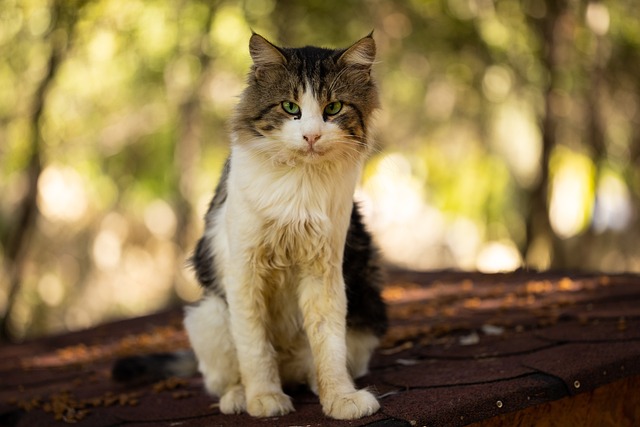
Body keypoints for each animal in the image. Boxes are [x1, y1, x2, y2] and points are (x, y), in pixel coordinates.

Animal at [113, 33, 388, 422]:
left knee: (319, 363)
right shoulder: (244, 269)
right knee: (226, 376)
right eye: (290, 107)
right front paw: (264, 398)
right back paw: (240, 396)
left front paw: (339, 397)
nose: (311, 136)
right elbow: (255, 349)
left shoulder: (324, 270)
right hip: (207, 316)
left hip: (364, 314)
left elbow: (329, 345)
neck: (298, 184)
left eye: (333, 108)